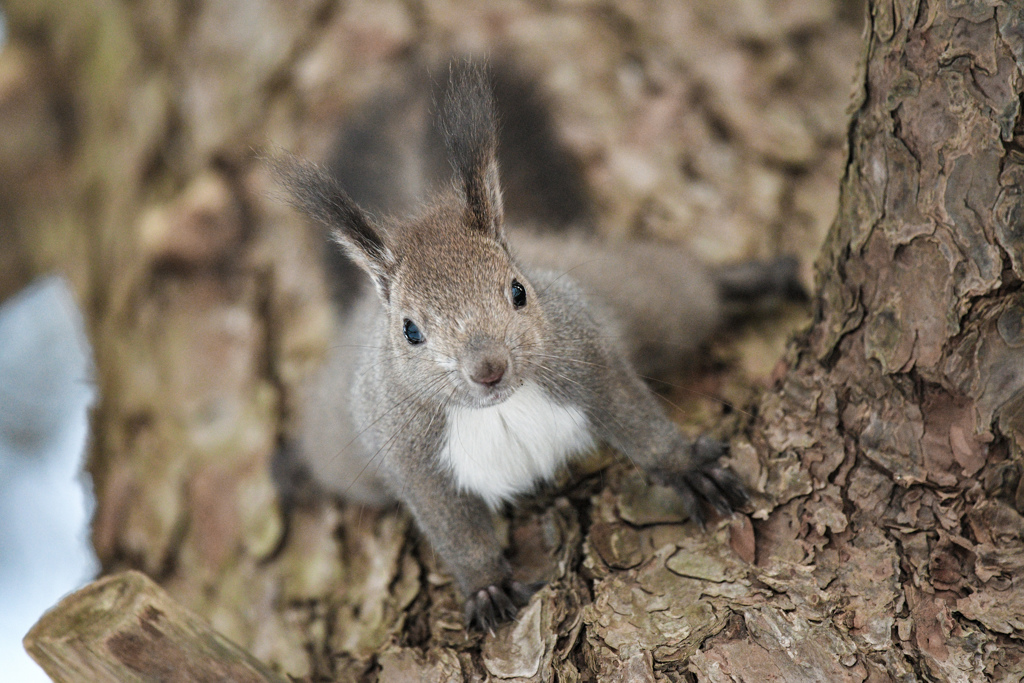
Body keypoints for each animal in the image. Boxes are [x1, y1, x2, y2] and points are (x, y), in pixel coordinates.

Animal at [274, 61, 806, 634]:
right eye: (410, 330)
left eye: (518, 291)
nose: (488, 368)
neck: (498, 407)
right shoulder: (409, 454)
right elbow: (454, 530)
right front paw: (486, 586)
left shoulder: (588, 354)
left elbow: (638, 420)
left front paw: (688, 468)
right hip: (341, 440)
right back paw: (292, 467)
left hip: (642, 300)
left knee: (690, 289)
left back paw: (756, 279)